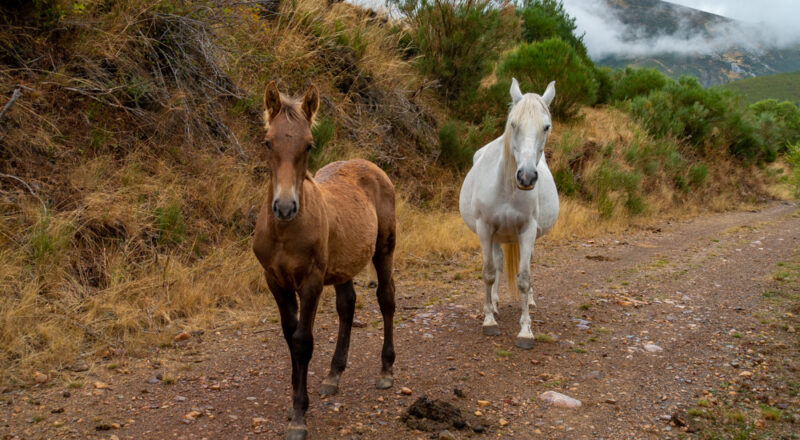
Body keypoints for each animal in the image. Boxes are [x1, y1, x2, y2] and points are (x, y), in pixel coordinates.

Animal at [253, 81, 397, 440]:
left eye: (308, 144)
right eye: (267, 141)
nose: (285, 207)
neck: (284, 232)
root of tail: (371, 165)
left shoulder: (311, 281)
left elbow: (303, 341)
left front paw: (299, 417)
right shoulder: (274, 280)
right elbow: (289, 337)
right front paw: (295, 404)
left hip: (384, 250)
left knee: (386, 299)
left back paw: (386, 369)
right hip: (343, 264)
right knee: (347, 305)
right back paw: (334, 374)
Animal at [458, 78, 559, 350]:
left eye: (546, 127)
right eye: (513, 124)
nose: (526, 176)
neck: (506, 187)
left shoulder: (527, 231)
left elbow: (524, 278)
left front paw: (525, 331)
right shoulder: (485, 229)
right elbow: (488, 273)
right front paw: (489, 320)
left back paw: (530, 301)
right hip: (494, 236)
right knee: (497, 265)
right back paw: (494, 303)